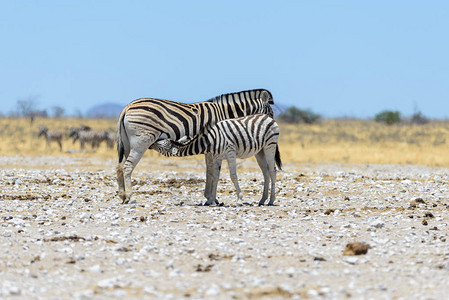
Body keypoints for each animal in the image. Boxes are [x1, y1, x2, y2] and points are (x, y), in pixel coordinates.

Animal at [152, 113, 282, 206]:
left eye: (162, 144)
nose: (152, 142)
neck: (210, 141)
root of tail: (267, 116)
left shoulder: (230, 153)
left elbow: (233, 176)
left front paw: (239, 199)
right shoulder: (217, 157)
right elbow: (215, 177)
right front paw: (210, 200)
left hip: (270, 145)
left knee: (272, 171)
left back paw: (271, 201)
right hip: (259, 152)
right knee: (265, 173)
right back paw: (262, 200)